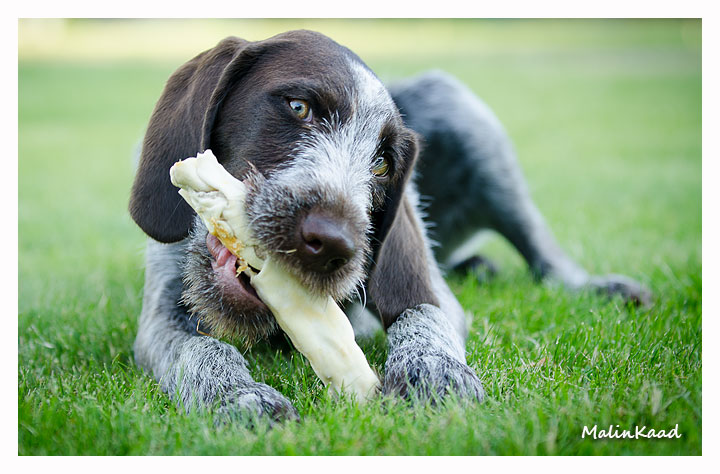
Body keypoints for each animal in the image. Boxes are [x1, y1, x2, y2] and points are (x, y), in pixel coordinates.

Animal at [128, 30, 651, 422]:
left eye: (382, 164)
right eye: (298, 107)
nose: (333, 244)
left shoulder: (431, 294)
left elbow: (424, 315)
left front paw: (435, 370)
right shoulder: (161, 320)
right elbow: (203, 351)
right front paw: (238, 396)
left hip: (462, 111)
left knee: (546, 254)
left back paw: (595, 285)